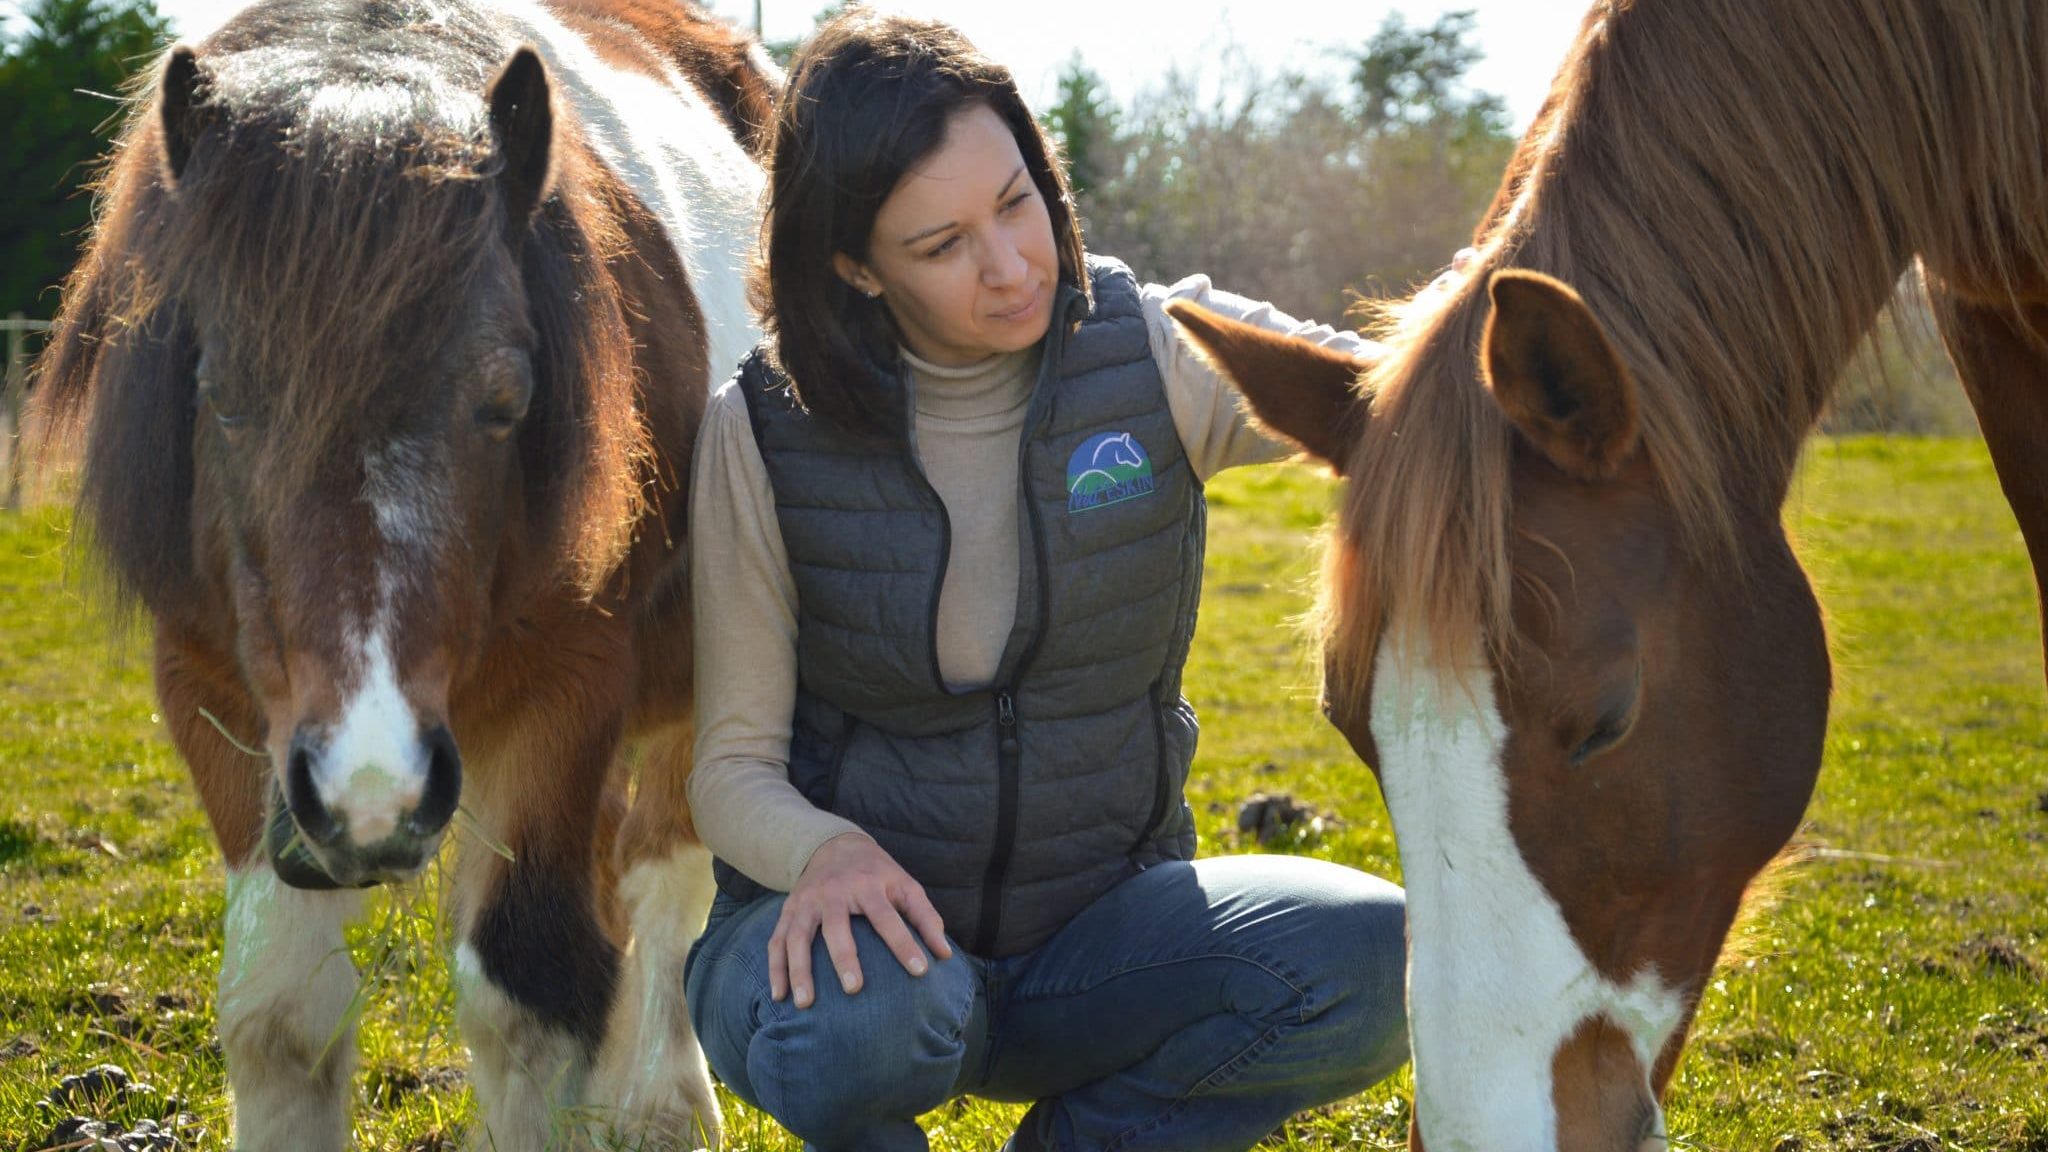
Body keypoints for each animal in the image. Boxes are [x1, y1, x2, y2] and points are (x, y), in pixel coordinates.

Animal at [37, 0, 774, 1139]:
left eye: (505, 401)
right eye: (223, 396)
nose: (373, 788)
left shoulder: (564, 702)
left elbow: (529, 997)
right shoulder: (216, 700)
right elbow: (280, 1013)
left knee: (663, 888)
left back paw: (661, 1110)